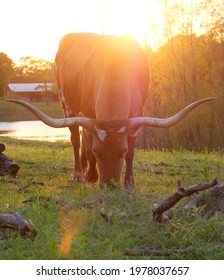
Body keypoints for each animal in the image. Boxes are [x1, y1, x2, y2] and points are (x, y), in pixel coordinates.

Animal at [8, 32, 214, 187]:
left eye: (121, 152)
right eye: (99, 152)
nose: (109, 185)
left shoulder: (136, 115)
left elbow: (132, 151)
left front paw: (129, 182)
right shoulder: (88, 115)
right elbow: (88, 145)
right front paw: (92, 174)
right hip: (66, 104)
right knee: (76, 139)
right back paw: (80, 174)